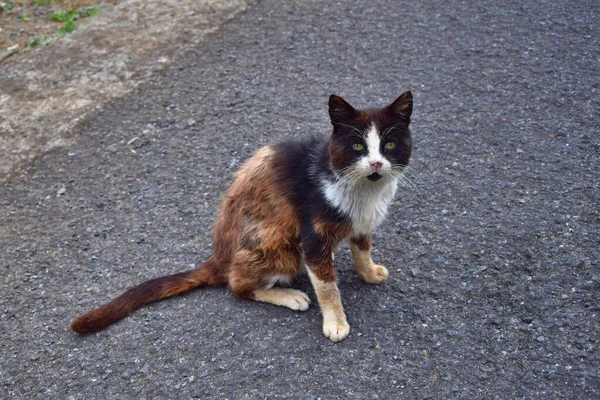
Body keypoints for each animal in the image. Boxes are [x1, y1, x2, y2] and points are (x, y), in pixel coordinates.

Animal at [70, 92, 412, 342]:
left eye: (389, 144)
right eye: (357, 145)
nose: (377, 163)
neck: (363, 190)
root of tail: (219, 258)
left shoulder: (361, 222)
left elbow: (362, 247)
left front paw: (369, 272)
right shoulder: (313, 237)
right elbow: (327, 285)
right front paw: (335, 322)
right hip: (277, 242)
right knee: (238, 286)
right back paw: (288, 295)